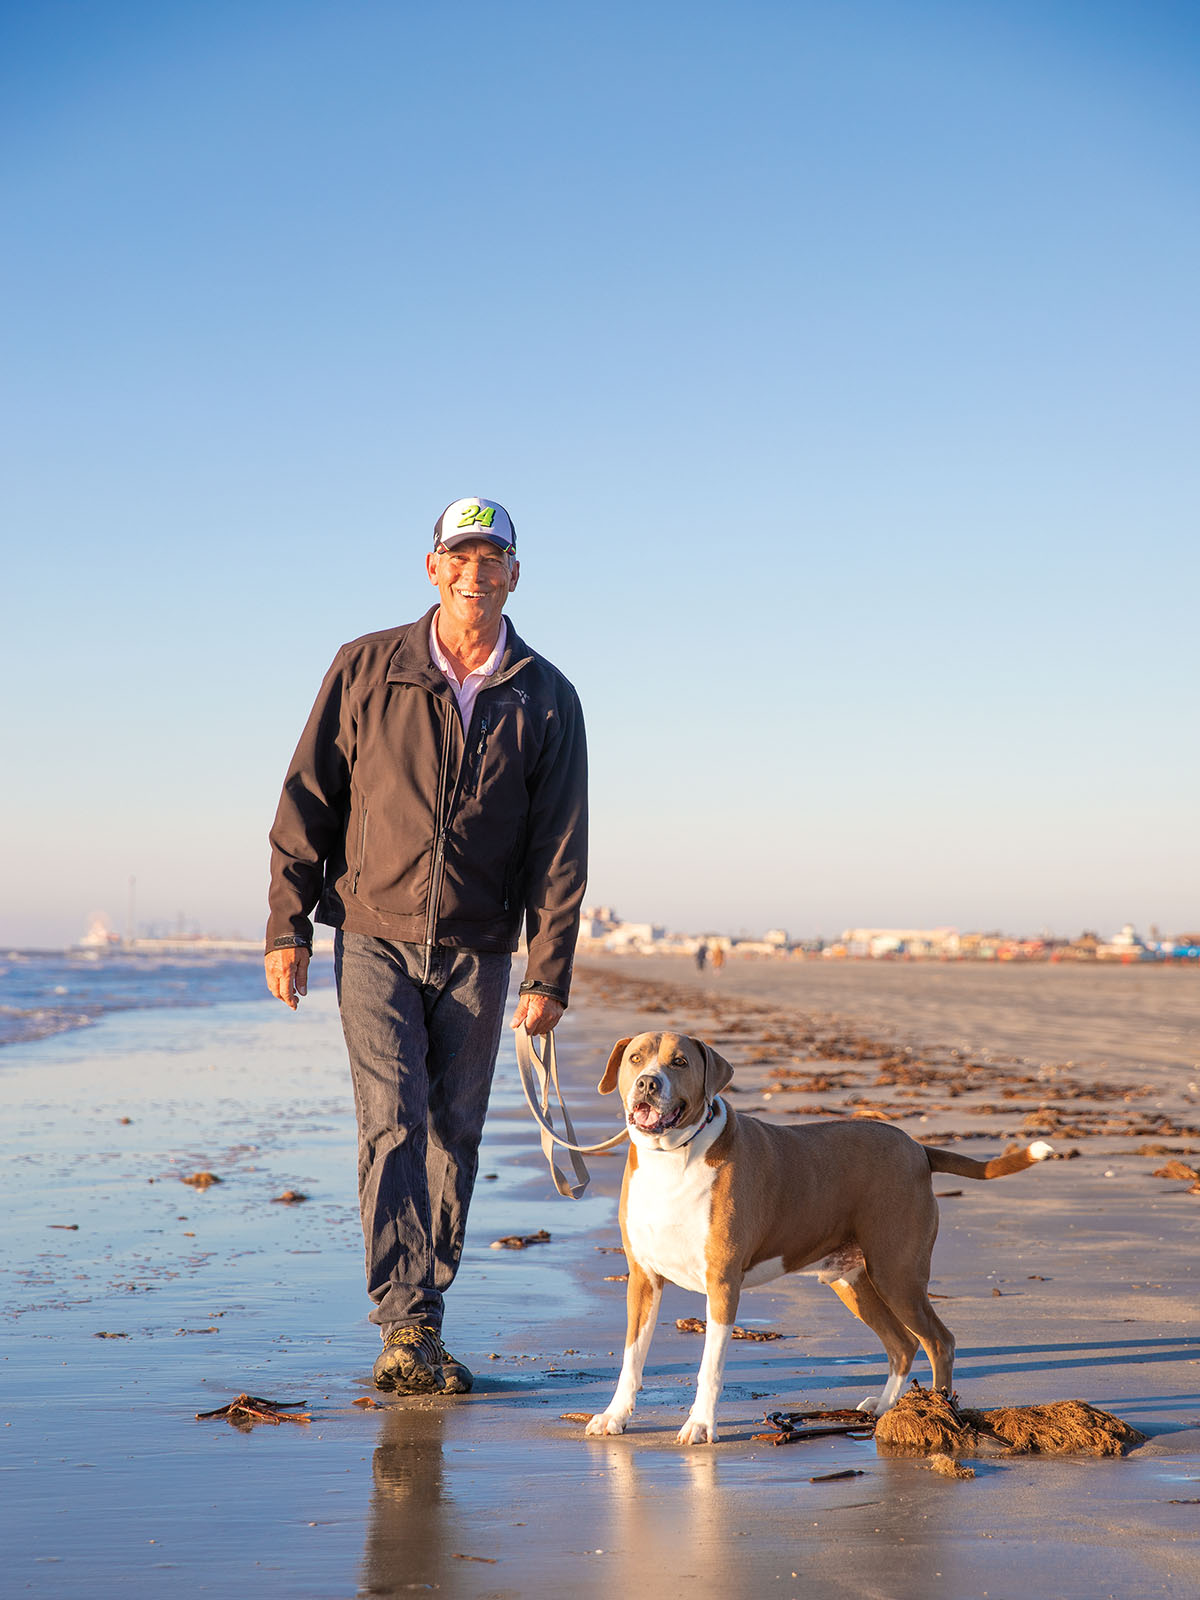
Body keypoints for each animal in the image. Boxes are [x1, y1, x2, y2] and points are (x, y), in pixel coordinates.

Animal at [588, 1030, 1049, 1446]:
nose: (648, 1082)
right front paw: (615, 1416)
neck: (673, 1158)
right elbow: (632, 1357)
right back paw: (885, 1407)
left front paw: (701, 1425)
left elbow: (710, 1366)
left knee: (939, 1341)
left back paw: (937, 1412)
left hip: (897, 1274)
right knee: (901, 1344)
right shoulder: (643, 1279)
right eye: (635, 1058)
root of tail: (919, 1148)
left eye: (680, 1062)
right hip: (853, 1281)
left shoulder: (722, 1283)